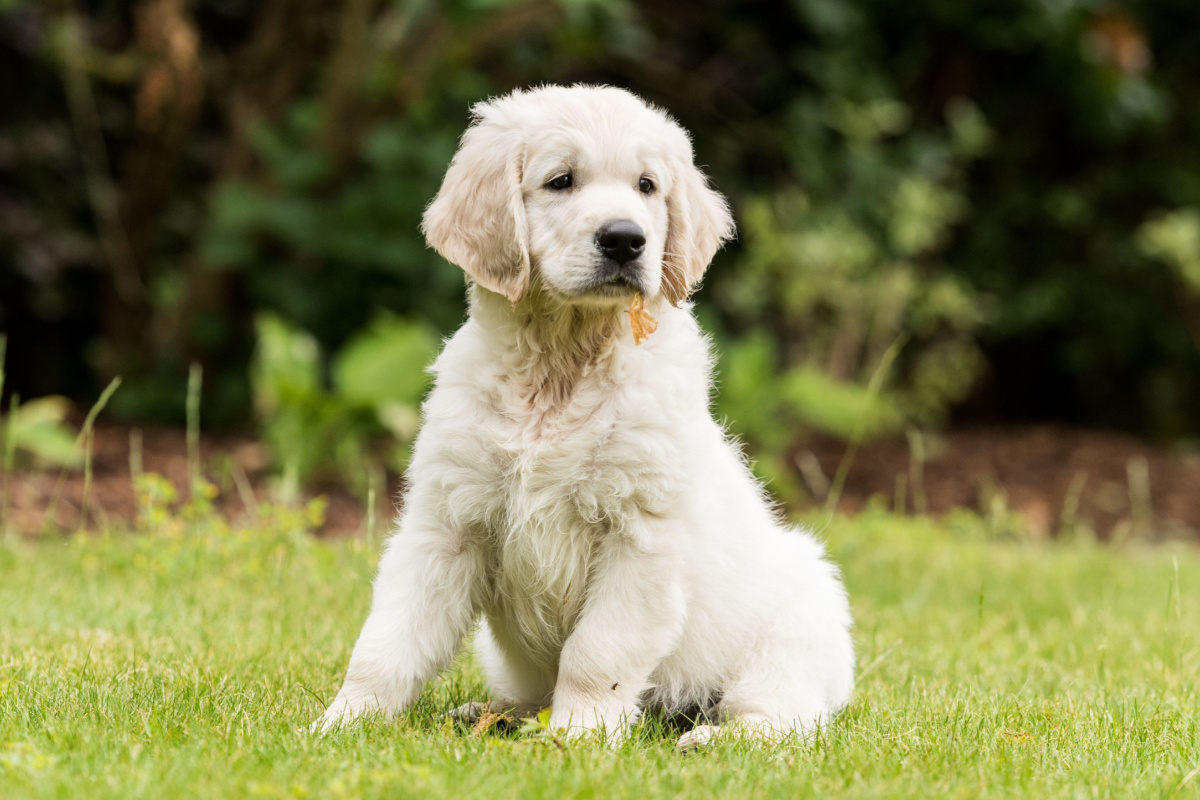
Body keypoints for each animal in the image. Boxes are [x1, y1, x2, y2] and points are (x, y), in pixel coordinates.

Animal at [312, 84, 854, 748]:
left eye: (647, 186)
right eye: (560, 180)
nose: (624, 239)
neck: (561, 368)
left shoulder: (640, 536)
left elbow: (598, 653)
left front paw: (579, 737)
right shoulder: (447, 522)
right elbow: (387, 641)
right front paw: (342, 723)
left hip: (796, 627)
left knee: (788, 716)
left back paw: (713, 738)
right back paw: (490, 713)